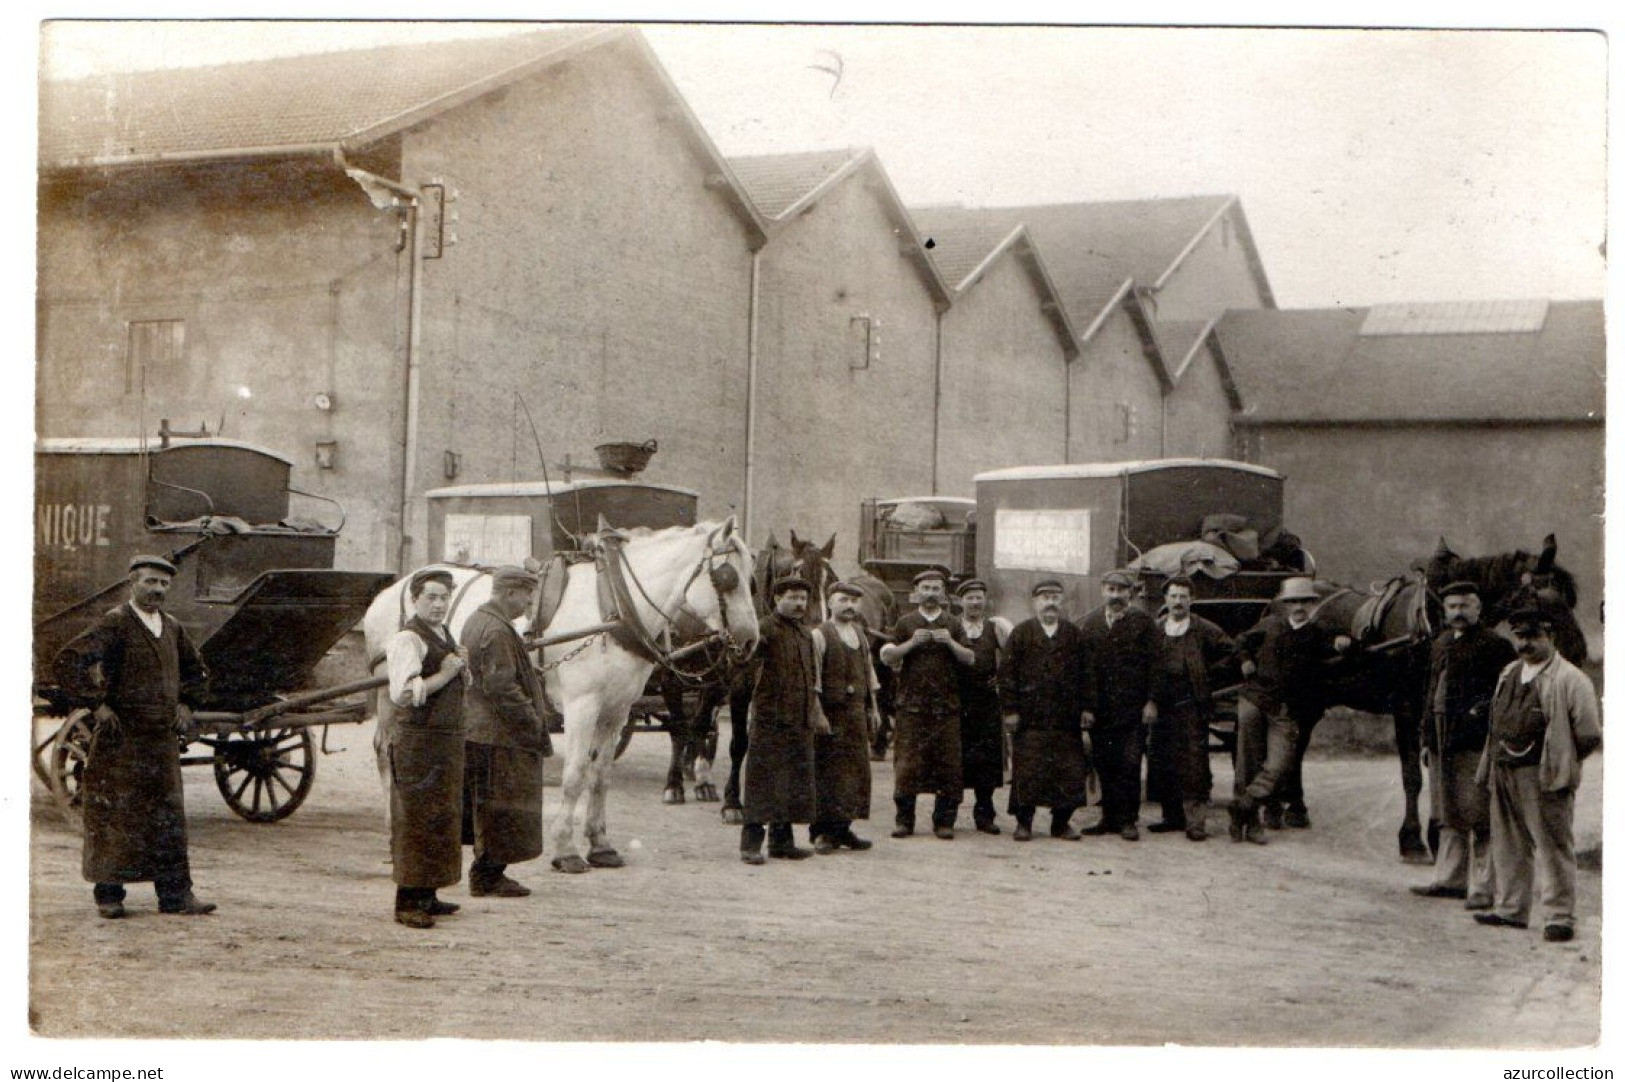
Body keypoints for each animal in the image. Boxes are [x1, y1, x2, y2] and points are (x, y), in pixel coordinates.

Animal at [362, 513, 754, 870]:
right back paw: (393, 828)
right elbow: (576, 774)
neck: (612, 605)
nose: (751, 641)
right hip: (392, 688)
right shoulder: (583, 705)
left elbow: (601, 776)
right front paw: (566, 849)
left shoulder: (616, 711)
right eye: (726, 577)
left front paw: (600, 843)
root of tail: (395, 587)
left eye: (752, 577)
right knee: (386, 749)